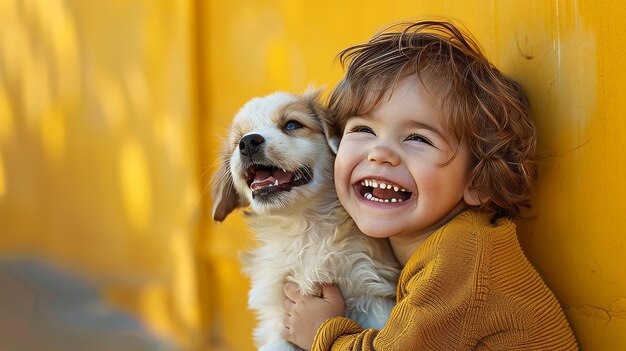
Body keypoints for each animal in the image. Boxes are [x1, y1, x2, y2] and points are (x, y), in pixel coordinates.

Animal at [212, 91, 398, 351]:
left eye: (291, 125)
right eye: (238, 139)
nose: (247, 142)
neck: (304, 226)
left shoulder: (372, 296)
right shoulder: (277, 316)